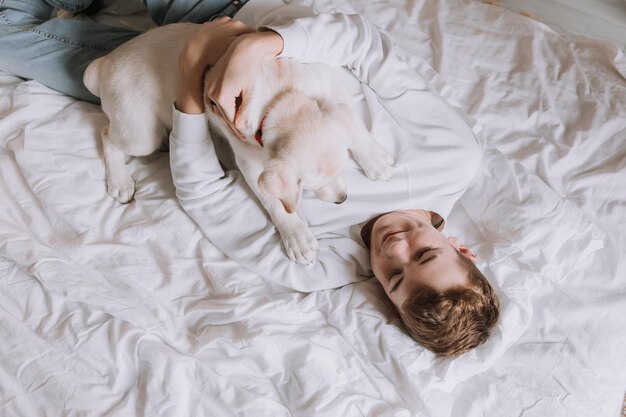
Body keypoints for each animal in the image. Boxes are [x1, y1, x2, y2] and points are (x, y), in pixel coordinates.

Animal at [84, 22, 390, 264]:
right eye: (311, 186)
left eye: (343, 167)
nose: (342, 199)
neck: (279, 98)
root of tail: (105, 63)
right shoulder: (252, 163)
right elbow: (275, 202)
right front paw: (295, 234)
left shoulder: (327, 84)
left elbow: (352, 121)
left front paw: (374, 157)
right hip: (140, 134)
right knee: (107, 135)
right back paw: (120, 180)